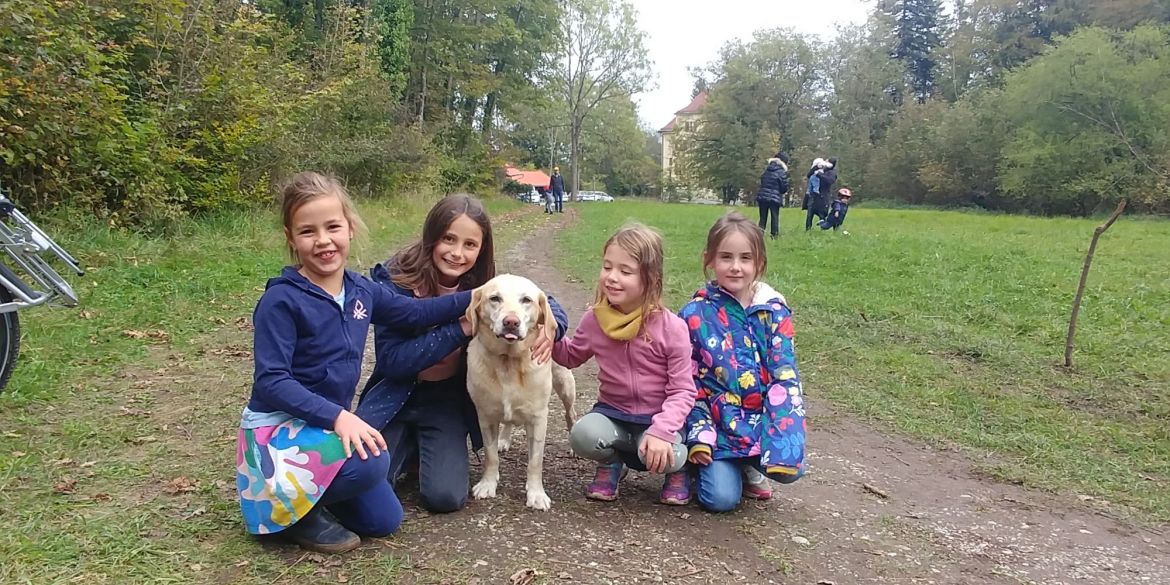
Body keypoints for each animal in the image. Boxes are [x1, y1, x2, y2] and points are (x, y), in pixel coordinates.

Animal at [463, 276, 577, 510]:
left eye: (526, 300)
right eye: (494, 298)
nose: (511, 322)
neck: (508, 361)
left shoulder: (538, 419)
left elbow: (535, 462)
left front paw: (536, 494)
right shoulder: (485, 417)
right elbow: (490, 456)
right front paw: (488, 485)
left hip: (565, 385)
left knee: (570, 414)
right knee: (509, 421)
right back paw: (504, 440)